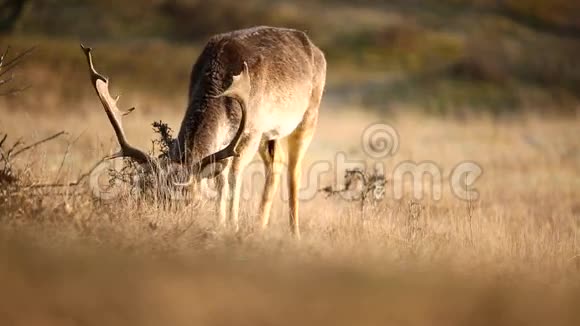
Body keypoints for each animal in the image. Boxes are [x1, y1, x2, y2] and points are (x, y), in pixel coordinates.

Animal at [81, 25, 326, 237]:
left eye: (193, 200)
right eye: (153, 196)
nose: (168, 224)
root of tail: (317, 50)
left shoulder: (253, 129)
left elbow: (233, 174)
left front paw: (232, 226)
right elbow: (220, 179)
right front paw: (220, 223)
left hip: (309, 114)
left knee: (294, 169)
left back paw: (294, 233)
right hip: (270, 135)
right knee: (277, 162)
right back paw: (259, 226)